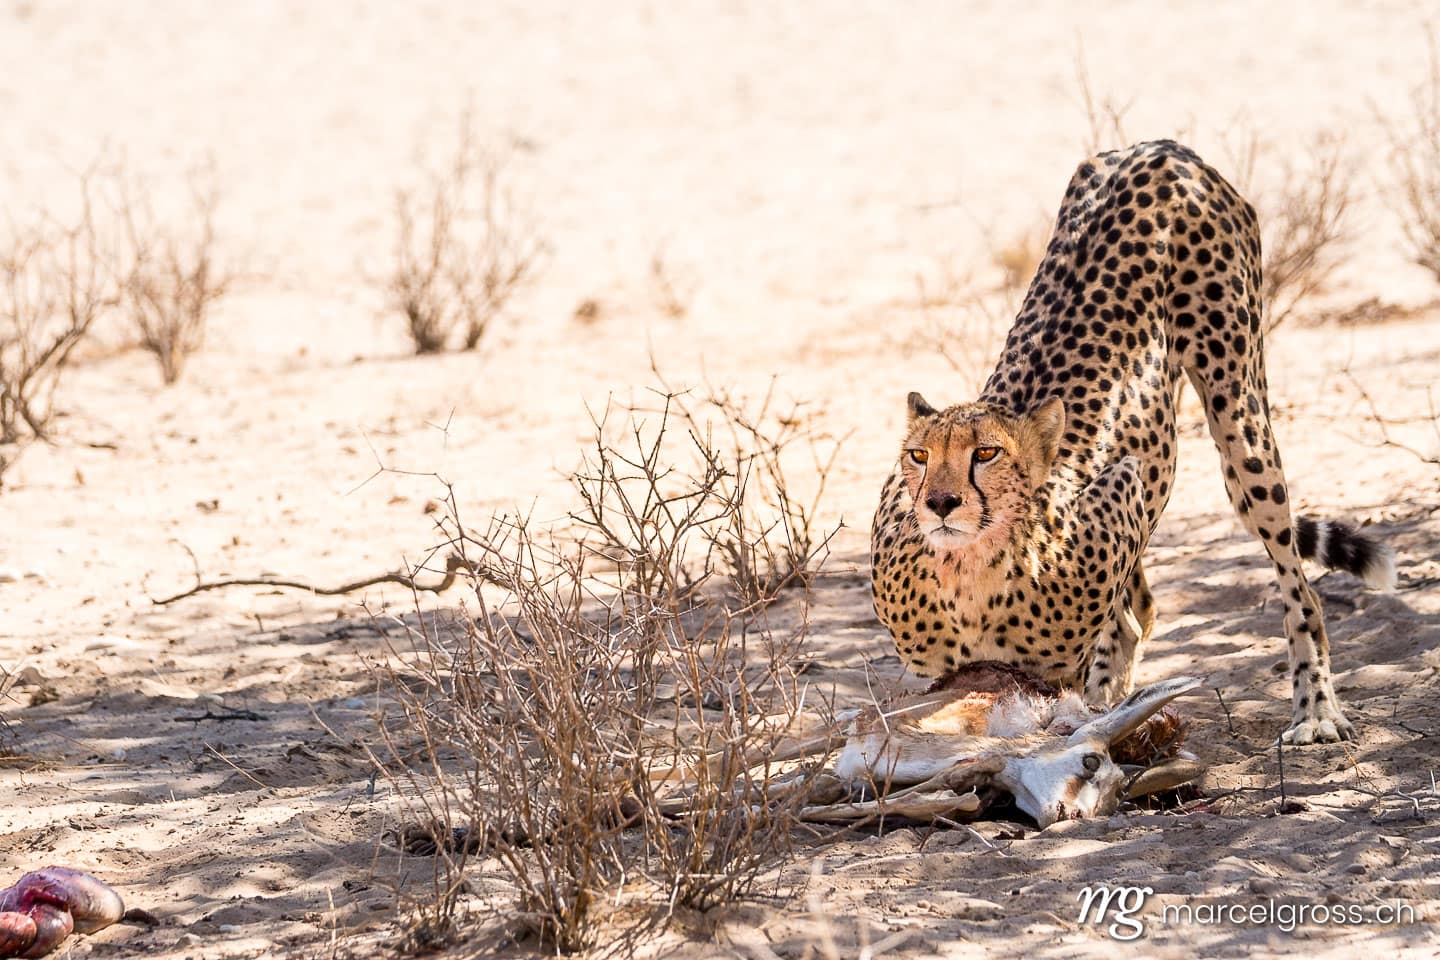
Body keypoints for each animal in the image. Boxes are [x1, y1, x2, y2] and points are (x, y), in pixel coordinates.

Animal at [871, 139, 1395, 746]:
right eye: (919, 456)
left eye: (986, 453)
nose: (940, 502)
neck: (970, 574)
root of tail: (1160, 148)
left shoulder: (1120, 492)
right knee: (1139, 610)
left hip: (1240, 420)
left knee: (1296, 590)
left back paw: (1314, 711)